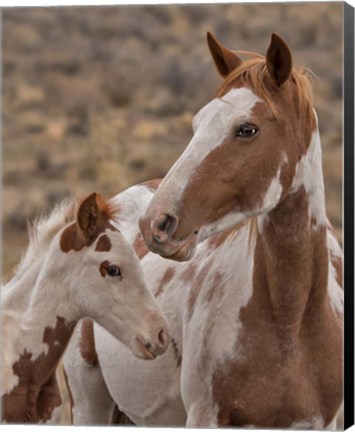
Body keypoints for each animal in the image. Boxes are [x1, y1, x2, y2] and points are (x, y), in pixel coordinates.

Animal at [65, 33, 344, 428]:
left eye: (247, 129)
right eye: (197, 123)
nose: (157, 222)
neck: (290, 322)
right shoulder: (205, 417)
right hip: (89, 404)